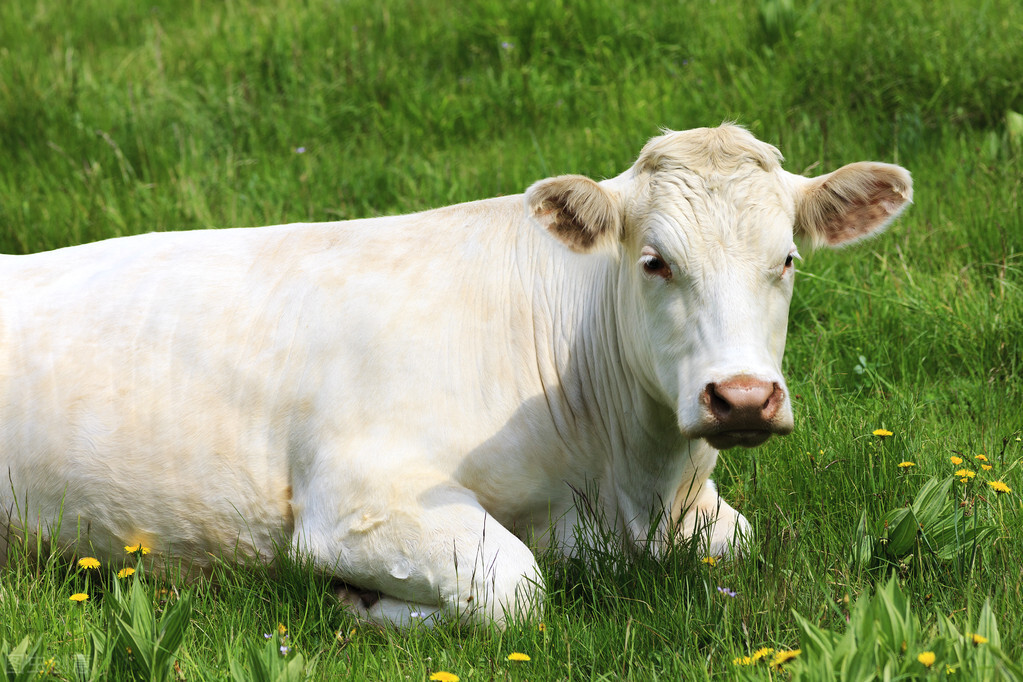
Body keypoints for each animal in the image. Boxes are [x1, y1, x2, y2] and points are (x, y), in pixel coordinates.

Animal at [0, 125, 912, 625]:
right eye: (654, 261)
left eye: (785, 259)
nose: (742, 398)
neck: (626, 481)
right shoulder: (357, 504)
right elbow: (514, 590)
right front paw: (358, 603)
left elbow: (739, 542)